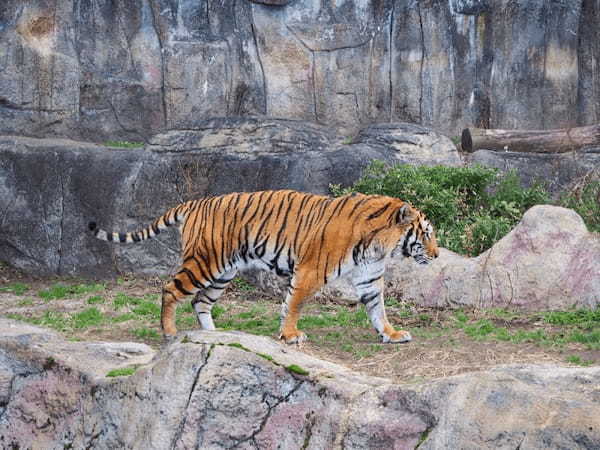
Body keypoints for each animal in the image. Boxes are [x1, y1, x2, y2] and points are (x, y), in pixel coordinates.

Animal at [89, 190, 438, 344]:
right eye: (426, 233)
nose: (436, 255)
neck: (380, 245)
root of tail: (195, 202)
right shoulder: (309, 271)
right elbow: (294, 304)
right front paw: (291, 335)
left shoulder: (368, 277)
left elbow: (378, 309)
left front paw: (392, 334)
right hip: (204, 262)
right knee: (170, 289)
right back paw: (170, 332)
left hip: (223, 271)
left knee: (200, 301)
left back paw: (215, 334)